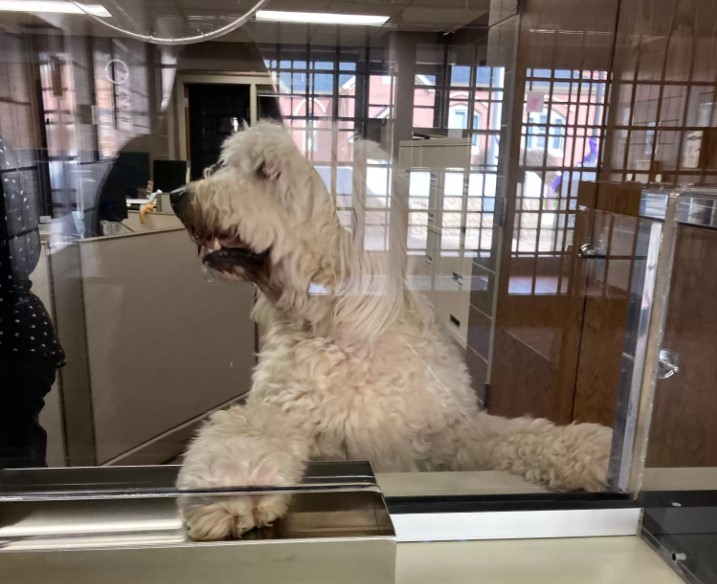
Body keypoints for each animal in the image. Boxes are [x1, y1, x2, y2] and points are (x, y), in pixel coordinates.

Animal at [171, 121, 612, 540]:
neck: (343, 329)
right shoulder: (287, 413)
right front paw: (232, 491)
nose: (178, 195)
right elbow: (247, 428)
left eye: (265, 171)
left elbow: (516, 433)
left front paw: (597, 451)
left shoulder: (444, 434)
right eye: (228, 164)